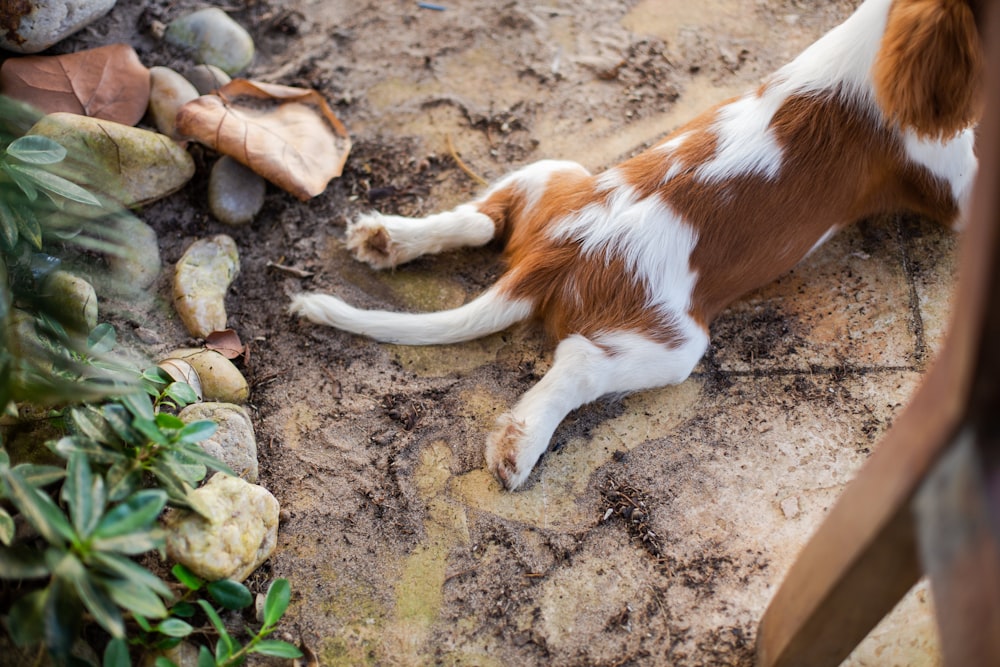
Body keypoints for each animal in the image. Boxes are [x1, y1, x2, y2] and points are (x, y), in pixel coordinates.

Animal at [292, 0, 980, 490]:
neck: (871, 45)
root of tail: (556, 255)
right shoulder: (954, 181)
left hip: (553, 175)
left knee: (482, 220)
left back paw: (387, 238)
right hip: (672, 343)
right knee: (578, 363)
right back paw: (519, 444)